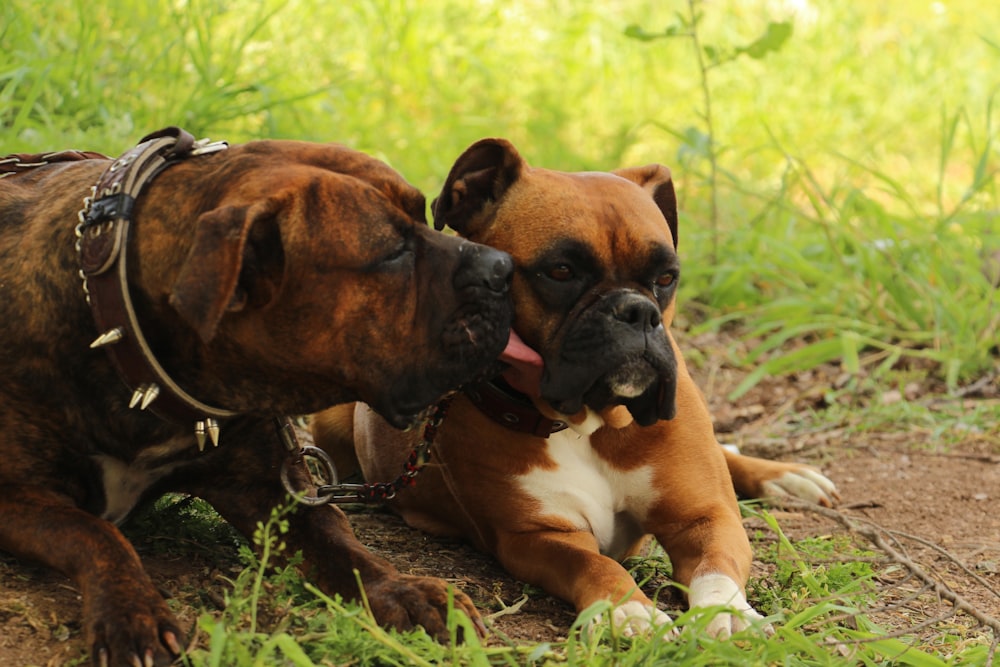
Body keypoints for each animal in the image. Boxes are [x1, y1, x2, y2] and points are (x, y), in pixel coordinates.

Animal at [0, 130, 516, 667]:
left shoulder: (273, 493)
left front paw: (404, 590)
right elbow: (95, 533)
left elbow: (346, 546)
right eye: (393, 254)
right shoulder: (16, 495)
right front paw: (131, 612)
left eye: (425, 214)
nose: (504, 268)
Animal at [310, 138, 836, 640]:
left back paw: (785, 477)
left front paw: (727, 614)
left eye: (666, 278)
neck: (589, 424)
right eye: (561, 271)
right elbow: (595, 564)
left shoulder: (705, 518)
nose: (637, 312)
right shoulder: (538, 537)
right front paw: (630, 611)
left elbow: (716, 567)